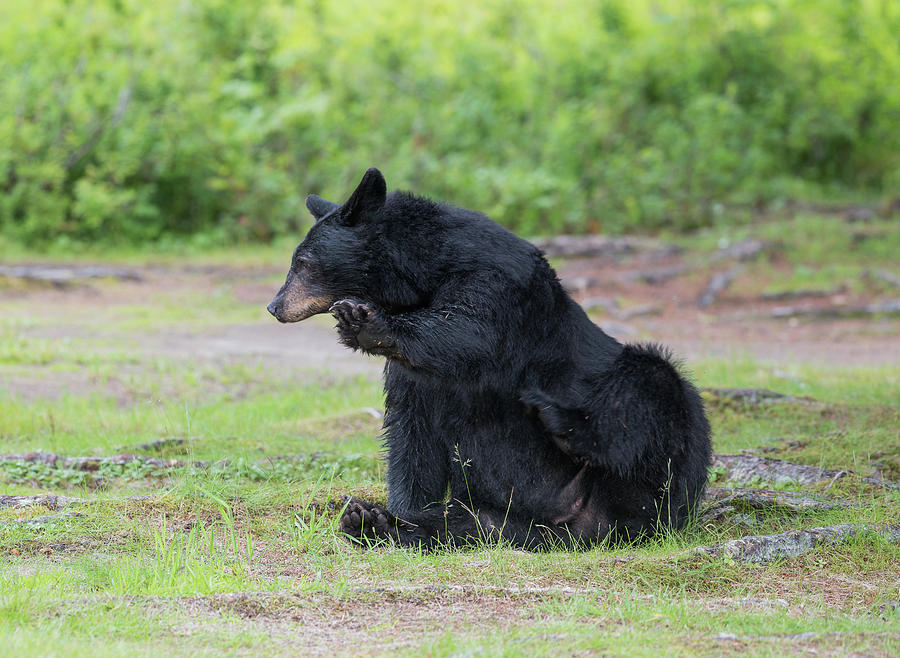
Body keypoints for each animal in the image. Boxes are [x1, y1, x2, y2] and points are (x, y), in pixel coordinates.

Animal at [268, 168, 712, 548]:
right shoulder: (412, 374)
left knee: (650, 390)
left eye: (302, 263)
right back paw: (373, 522)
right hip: (496, 516)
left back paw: (561, 422)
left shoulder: (498, 283)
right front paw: (393, 511)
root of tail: (583, 527)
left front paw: (365, 321)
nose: (275, 306)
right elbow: (411, 432)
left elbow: (469, 330)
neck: (421, 277)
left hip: (658, 462)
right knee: (463, 522)